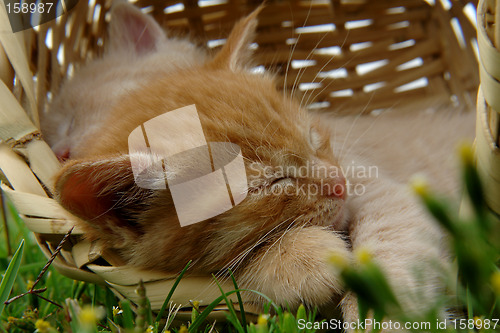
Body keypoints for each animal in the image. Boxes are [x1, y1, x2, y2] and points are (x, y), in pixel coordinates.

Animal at [41, 1, 474, 326]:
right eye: (271, 183)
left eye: (313, 139)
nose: (339, 185)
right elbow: (223, 274)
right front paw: (302, 259)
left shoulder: (376, 184)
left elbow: (391, 239)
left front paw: (383, 315)